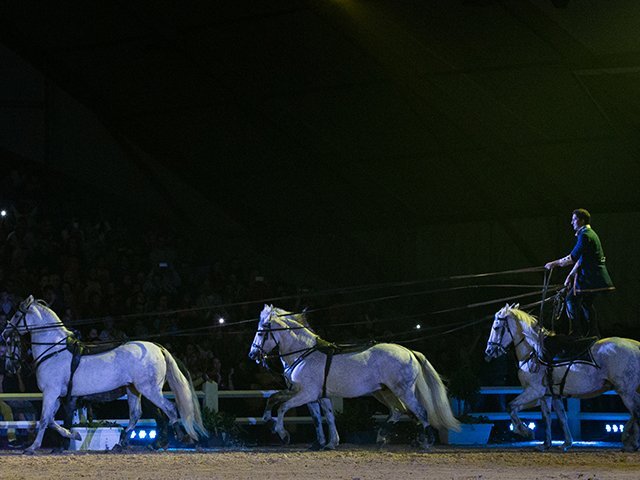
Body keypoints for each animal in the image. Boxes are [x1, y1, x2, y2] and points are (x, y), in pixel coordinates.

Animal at [1, 295, 208, 453]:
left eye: (17, 314)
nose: (4, 332)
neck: (54, 350)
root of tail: (158, 347)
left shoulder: (51, 392)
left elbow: (45, 420)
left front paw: (33, 447)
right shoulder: (59, 396)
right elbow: (52, 420)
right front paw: (73, 435)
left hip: (149, 390)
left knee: (168, 411)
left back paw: (168, 440)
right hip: (134, 390)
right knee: (137, 414)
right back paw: (123, 442)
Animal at [249, 304, 460, 449]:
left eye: (262, 331)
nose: (252, 354)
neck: (305, 353)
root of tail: (409, 352)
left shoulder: (307, 394)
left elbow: (283, 407)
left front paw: (282, 433)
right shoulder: (314, 396)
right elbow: (320, 416)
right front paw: (326, 443)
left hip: (401, 390)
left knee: (419, 411)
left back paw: (425, 441)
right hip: (384, 392)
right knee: (400, 411)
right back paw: (385, 436)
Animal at [485, 303, 640, 451]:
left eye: (496, 327)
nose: (488, 352)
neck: (534, 352)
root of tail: (636, 346)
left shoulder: (534, 391)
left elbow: (511, 406)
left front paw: (525, 431)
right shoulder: (548, 395)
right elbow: (554, 417)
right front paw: (553, 444)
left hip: (625, 391)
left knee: (636, 412)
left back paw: (631, 442)